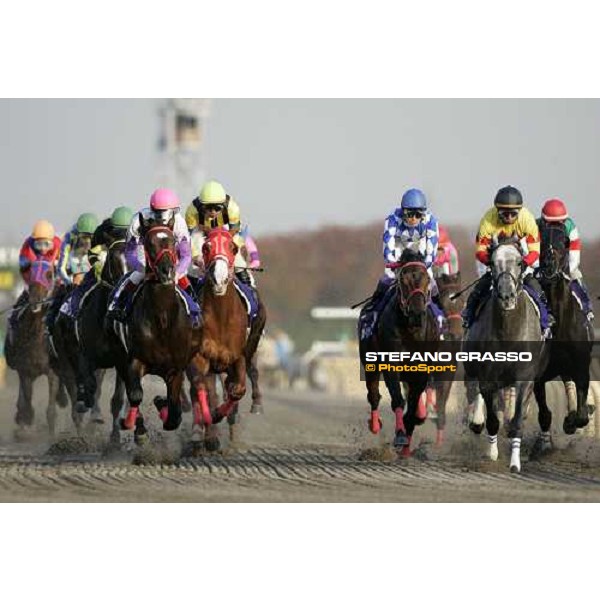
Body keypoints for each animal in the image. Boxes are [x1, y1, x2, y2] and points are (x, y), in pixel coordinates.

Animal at [3, 260, 62, 438]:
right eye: (28, 273)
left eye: (49, 274)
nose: (36, 301)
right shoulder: (25, 370)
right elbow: (26, 401)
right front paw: (24, 423)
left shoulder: (53, 371)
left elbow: (51, 409)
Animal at [189, 230, 266, 450]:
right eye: (206, 247)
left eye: (233, 247)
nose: (219, 280)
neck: (221, 318)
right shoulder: (202, 358)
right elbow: (206, 392)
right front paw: (210, 433)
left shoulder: (237, 357)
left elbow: (237, 390)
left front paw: (222, 416)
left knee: (249, 374)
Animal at [358, 247, 438, 454]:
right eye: (403, 279)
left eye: (426, 277)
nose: (417, 313)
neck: (411, 330)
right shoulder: (391, 364)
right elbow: (397, 399)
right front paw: (401, 435)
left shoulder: (422, 370)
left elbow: (413, 401)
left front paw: (407, 439)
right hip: (369, 362)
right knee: (374, 395)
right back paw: (375, 424)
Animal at [464, 240, 548, 474]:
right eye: (493, 263)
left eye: (519, 262)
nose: (506, 296)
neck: (509, 331)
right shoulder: (487, 378)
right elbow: (493, 419)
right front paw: (492, 453)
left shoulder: (524, 379)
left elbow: (517, 421)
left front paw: (515, 462)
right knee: (473, 390)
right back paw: (476, 420)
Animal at [532, 225, 592, 450]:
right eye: (541, 240)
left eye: (562, 242)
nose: (549, 265)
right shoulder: (538, 374)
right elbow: (544, 414)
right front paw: (543, 443)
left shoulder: (582, 365)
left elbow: (582, 414)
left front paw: (571, 421)